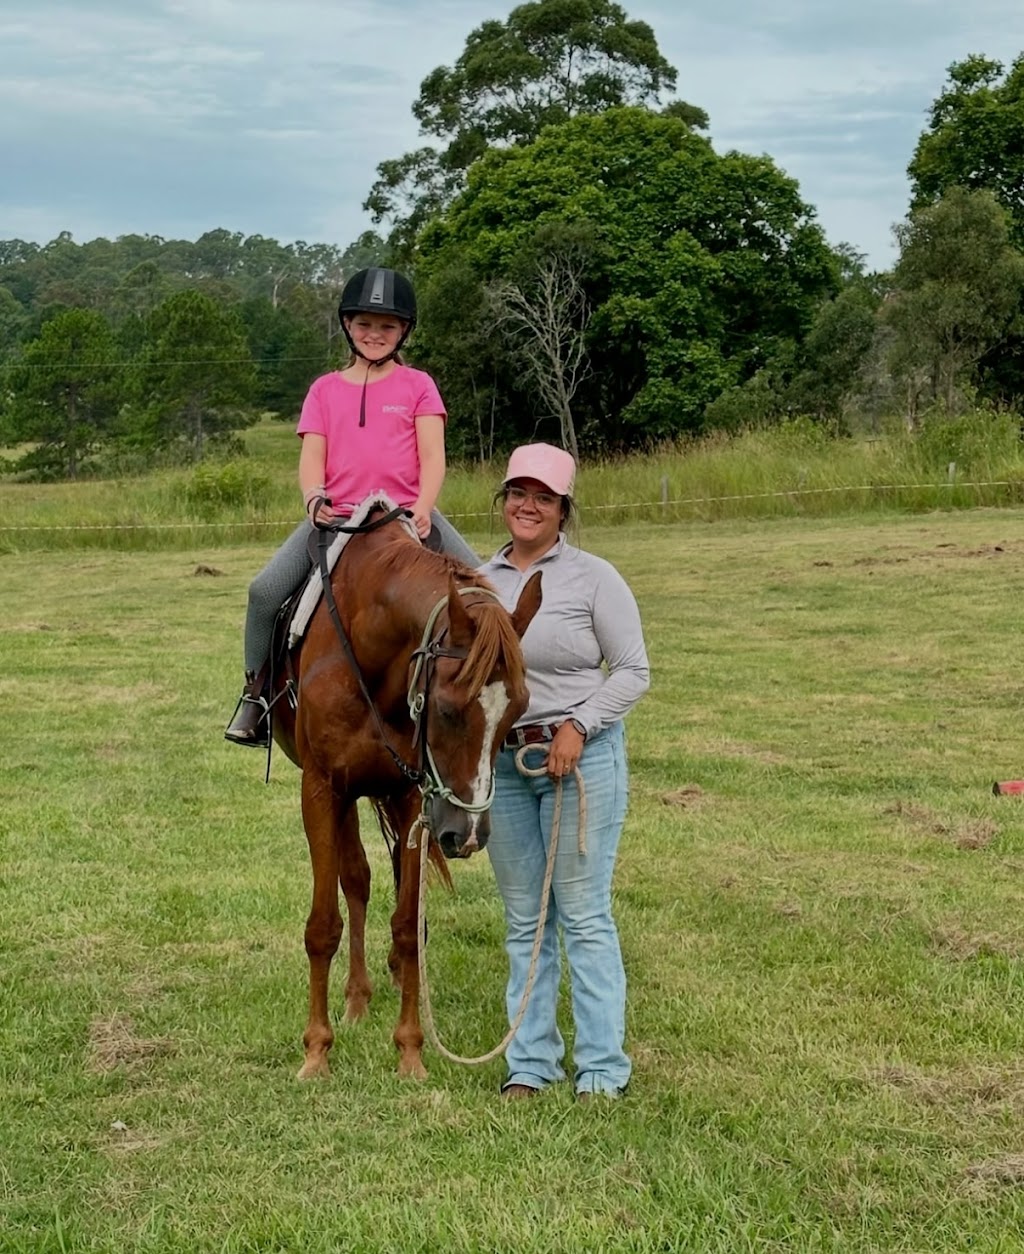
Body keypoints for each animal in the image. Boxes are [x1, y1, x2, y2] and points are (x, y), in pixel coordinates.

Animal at [269, 508, 542, 1080]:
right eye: (447, 708)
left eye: (517, 711)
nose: (468, 834)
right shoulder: (321, 788)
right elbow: (323, 924)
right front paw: (316, 1050)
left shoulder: (414, 797)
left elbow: (408, 926)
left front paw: (411, 1050)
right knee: (356, 880)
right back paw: (355, 998)